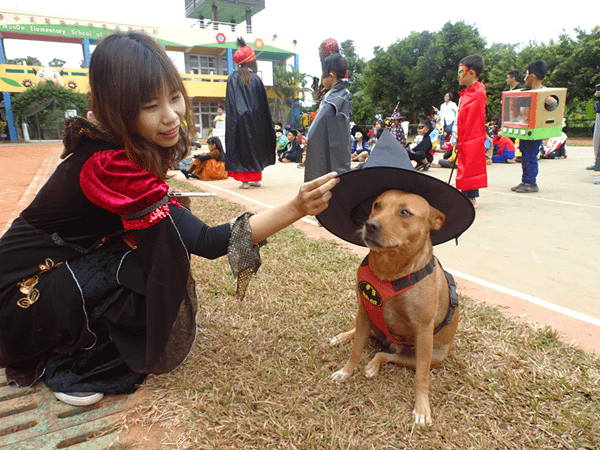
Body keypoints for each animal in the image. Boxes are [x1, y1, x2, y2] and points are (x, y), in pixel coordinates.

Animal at [330, 189, 458, 426]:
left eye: (405, 212)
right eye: (377, 205)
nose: (370, 224)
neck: (389, 270)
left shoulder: (424, 331)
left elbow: (421, 377)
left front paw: (422, 407)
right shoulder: (364, 313)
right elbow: (356, 350)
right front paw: (346, 371)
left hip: (430, 355)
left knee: (385, 355)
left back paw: (374, 364)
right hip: (371, 324)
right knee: (364, 337)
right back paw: (343, 337)